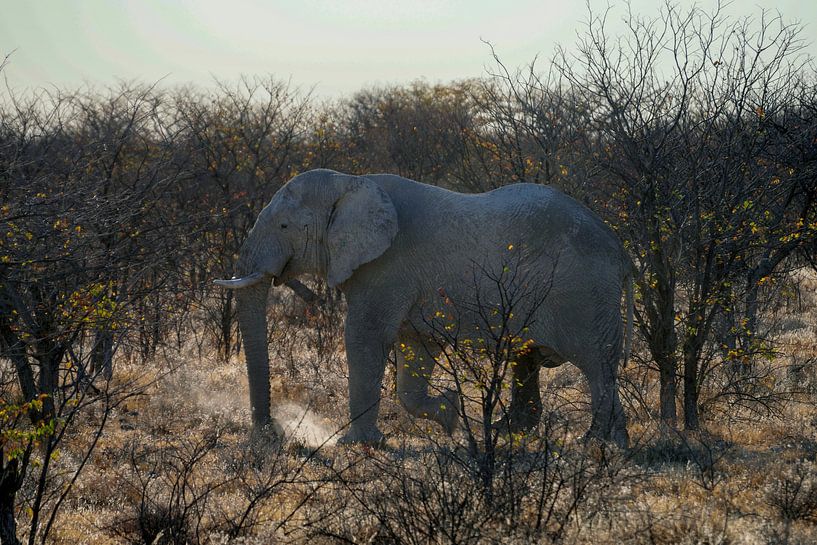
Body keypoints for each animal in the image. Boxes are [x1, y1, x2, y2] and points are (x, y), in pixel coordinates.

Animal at [215, 169, 633, 448]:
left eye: (284, 226)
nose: (271, 435)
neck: (352, 183)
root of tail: (620, 247)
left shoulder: (386, 267)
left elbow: (364, 337)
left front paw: (357, 445)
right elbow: (415, 348)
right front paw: (450, 413)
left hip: (584, 294)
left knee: (596, 365)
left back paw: (595, 444)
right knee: (534, 358)